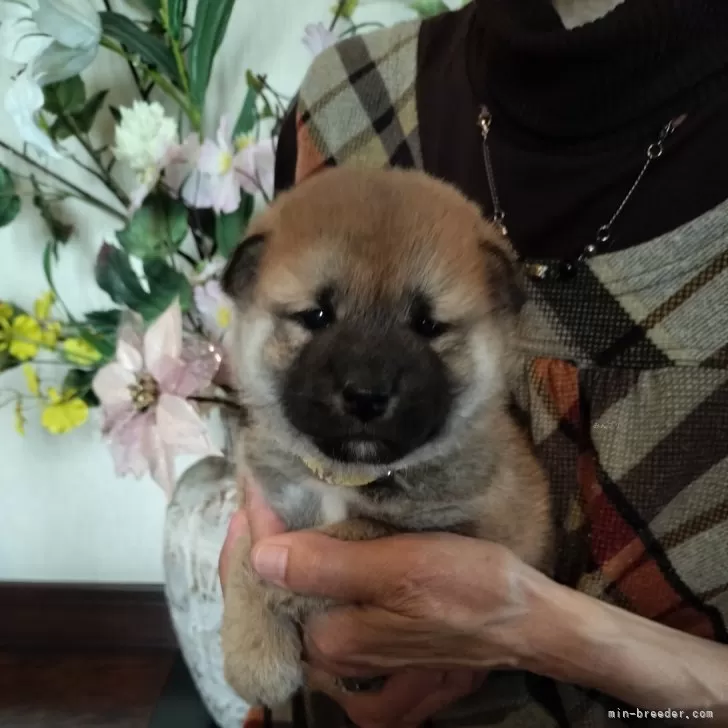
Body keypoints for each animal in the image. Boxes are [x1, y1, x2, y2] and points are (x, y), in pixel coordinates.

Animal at [219, 168, 548, 708]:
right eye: (316, 317)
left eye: (427, 324)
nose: (366, 395)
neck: (345, 476)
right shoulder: (266, 498)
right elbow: (248, 555)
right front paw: (255, 655)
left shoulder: (468, 528)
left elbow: (363, 531)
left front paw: (288, 584)